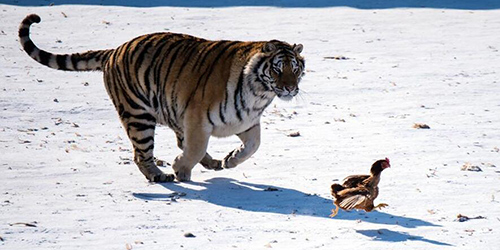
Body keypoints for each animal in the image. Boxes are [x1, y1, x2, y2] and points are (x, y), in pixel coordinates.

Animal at [18, 13, 304, 182]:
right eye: (278, 69)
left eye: (295, 69)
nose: (290, 88)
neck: (259, 93)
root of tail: (114, 50)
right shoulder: (197, 118)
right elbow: (195, 147)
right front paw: (180, 168)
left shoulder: (244, 121)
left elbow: (254, 145)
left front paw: (230, 159)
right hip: (138, 115)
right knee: (142, 153)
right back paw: (160, 175)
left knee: (178, 142)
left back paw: (212, 164)